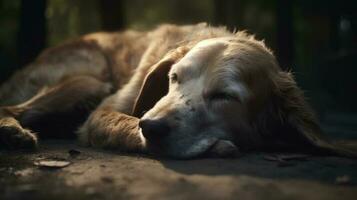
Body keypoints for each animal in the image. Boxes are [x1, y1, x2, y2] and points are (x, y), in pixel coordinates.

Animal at [0, 23, 354, 158]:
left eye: (224, 97)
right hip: (89, 80)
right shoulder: (101, 113)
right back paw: (12, 132)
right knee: (8, 107)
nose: (153, 126)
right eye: (174, 78)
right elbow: (125, 123)